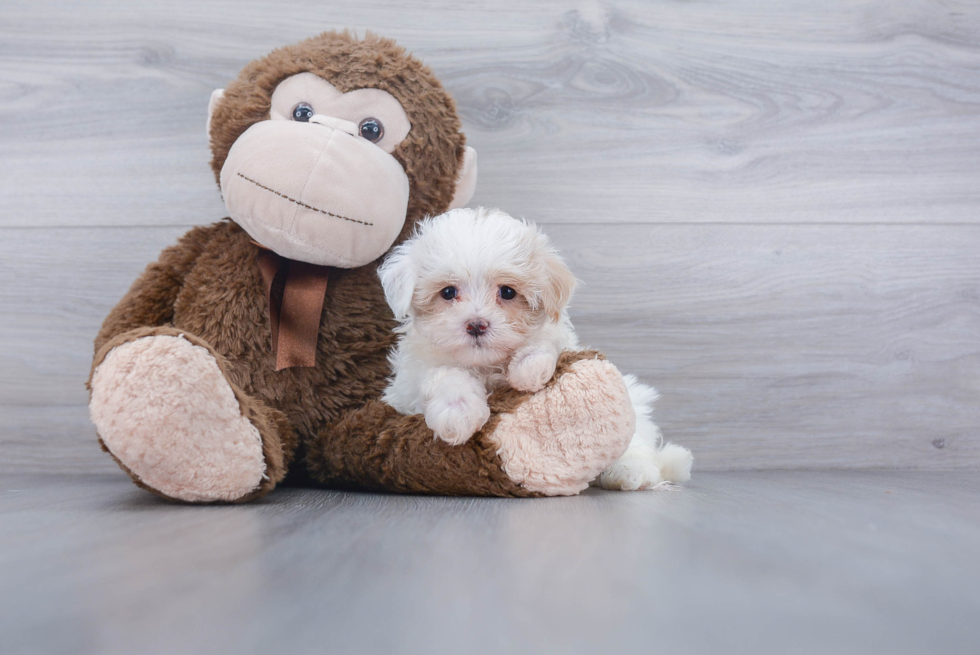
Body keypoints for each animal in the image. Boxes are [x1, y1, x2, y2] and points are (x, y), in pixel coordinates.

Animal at [378, 208, 692, 490]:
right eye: (447, 292)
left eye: (507, 292)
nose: (476, 324)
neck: (485, 366)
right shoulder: (408, 386)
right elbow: (443, 374)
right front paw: (458, 411)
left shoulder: (559, 339)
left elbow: (545, 343)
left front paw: (529, 366)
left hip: (635, 407)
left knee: (637, 440)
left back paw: (630, 471)